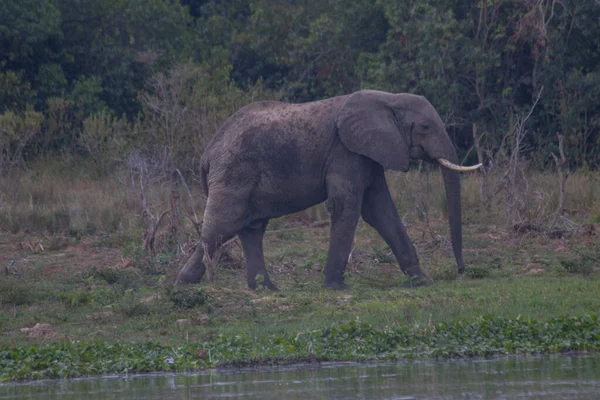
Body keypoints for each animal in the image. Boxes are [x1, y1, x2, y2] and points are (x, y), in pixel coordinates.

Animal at [176, 90, 480, 290]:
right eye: (425, 127)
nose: (461, 271)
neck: (388, 98)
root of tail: (207, 153)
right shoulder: (345, 151)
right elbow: (348, 205)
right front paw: (335, 287)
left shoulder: (367, 153)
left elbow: (381, 211)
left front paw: (422, 281)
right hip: (233, 173)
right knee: (222, 226)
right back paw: (183, 286)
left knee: (251, 229)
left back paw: (265, 289)